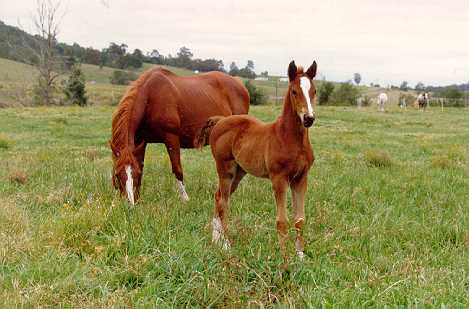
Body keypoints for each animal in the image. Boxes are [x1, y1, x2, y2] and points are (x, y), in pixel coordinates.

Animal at [110, 67, 249, 205]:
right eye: (117, 174)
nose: (128, 204)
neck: (151, 96)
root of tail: (239, 84)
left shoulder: (171, 138)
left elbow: (177, 169)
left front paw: (185, 199)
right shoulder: (140, 142)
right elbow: (141, 166)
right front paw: (138, 199)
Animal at [199, 60, 316, 268]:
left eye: (314, 91)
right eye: (294, 91)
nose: (308, 118)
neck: (290, 138)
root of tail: (220, 121)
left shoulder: (301, 179)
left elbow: (300, 219)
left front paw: (301, 256)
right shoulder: (279, 179)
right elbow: (282, 221)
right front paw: (285, 260)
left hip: (239, 172)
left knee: (218, 196)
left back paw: (216, 239)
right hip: (225, 169)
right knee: (223, 202)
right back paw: (226, 244)